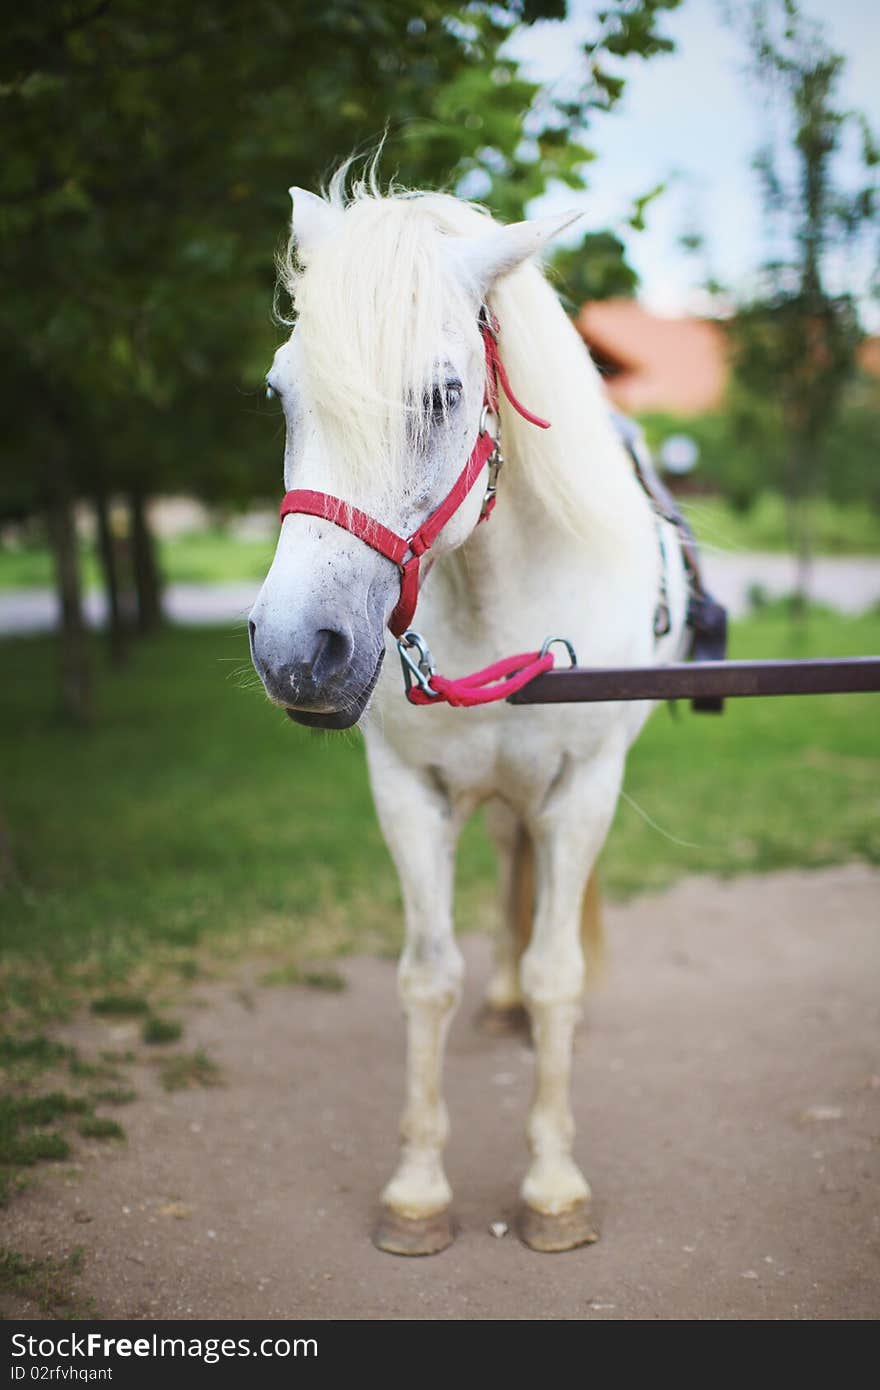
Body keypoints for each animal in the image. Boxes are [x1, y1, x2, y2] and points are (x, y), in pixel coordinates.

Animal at [247, 168, 686, 1256]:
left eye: (443, 394)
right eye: (280, 392)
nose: (295, 650)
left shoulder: (582, 791)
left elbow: (559, 972)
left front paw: (553, 1186)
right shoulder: (410, 794)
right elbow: (426, 977)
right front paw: (416, 1189)